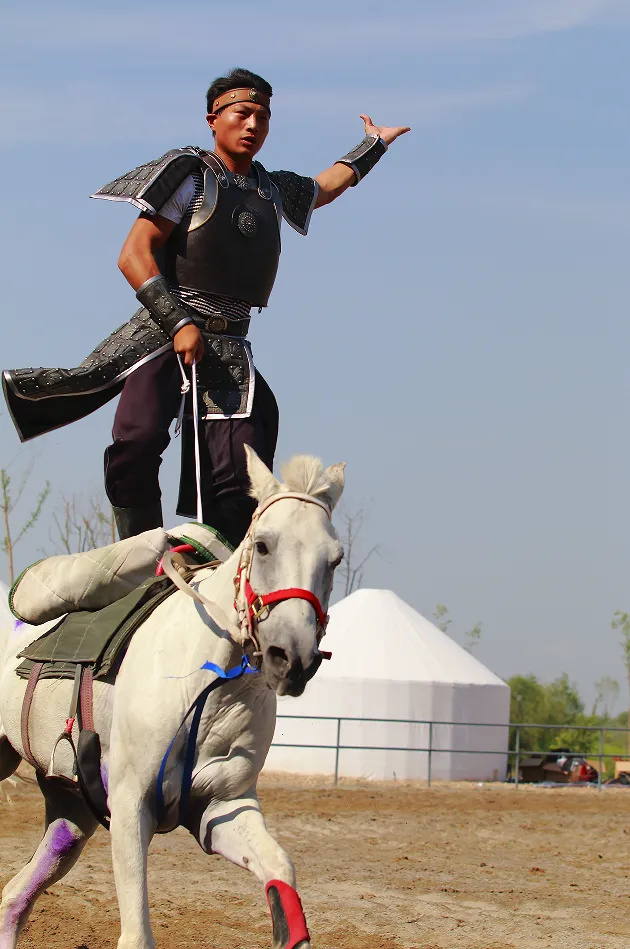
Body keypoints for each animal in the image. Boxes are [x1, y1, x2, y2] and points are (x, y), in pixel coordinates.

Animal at [0, 446, 345, 949]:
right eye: (263, 545)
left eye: (335, 559)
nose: (292, 657)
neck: (207, 688)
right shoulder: (130, 806)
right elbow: (137, 935)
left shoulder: (221, 807)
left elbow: (280, 873)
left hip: (70, 812)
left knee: (15, 898)